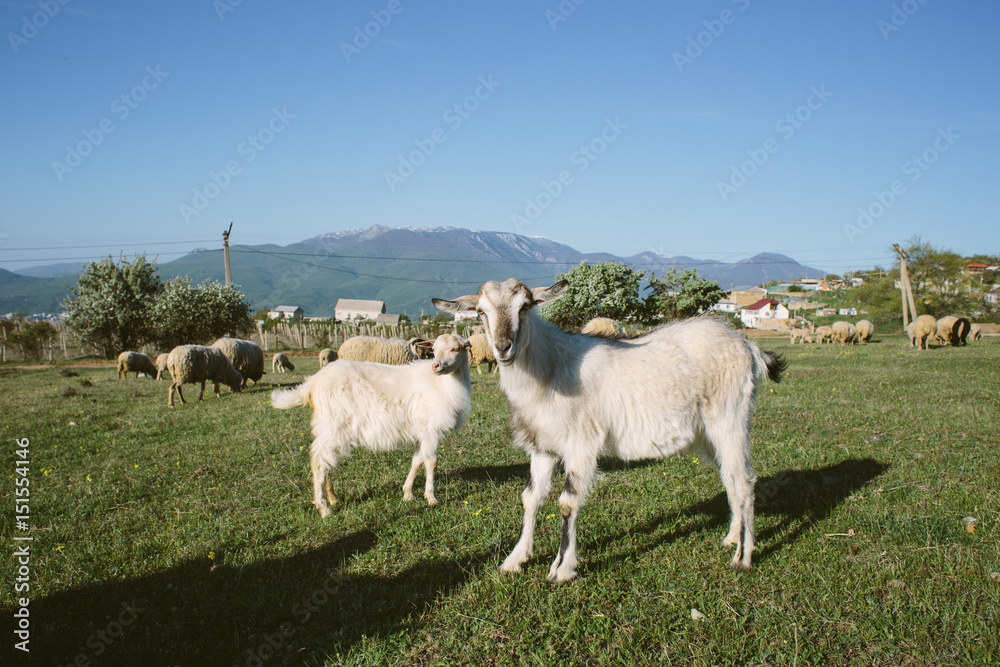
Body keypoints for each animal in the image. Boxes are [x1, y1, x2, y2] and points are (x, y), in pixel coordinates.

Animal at [433, 279, 784, 582]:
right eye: (480, 312)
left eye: (525, 307)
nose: (503, 347)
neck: (550, 371)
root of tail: (747, 346)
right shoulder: (542, 446)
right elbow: (530, 498)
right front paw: (515, 559)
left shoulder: (581, 443)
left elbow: (567, 502)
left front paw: (562, 569)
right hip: (707, 433)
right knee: (730, 477)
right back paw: (731, 538)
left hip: (731, 418)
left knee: (745, 481)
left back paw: (743, 557)